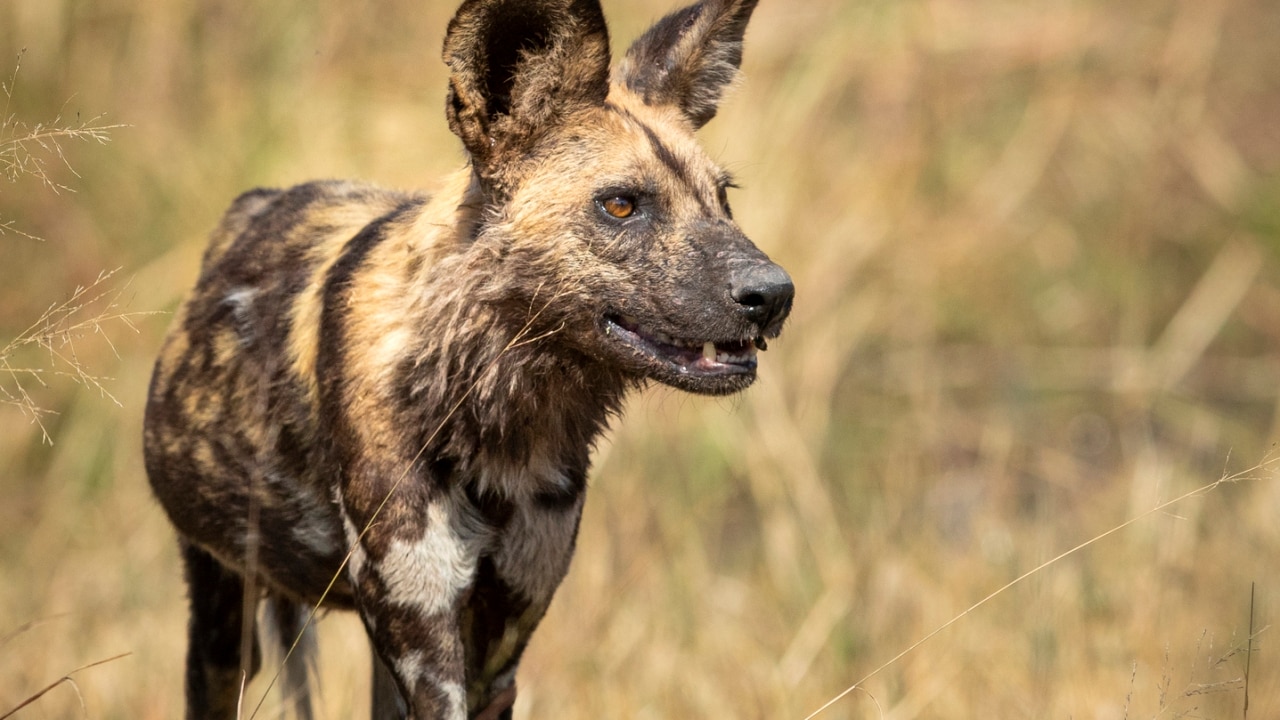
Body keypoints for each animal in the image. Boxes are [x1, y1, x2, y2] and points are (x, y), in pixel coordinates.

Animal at [147, 0, 788, 712]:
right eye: (621, 204)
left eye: (723, 199)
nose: (774, 295)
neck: (497, 412)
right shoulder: (426, 643)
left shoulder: (499, 644)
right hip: (223, 620)